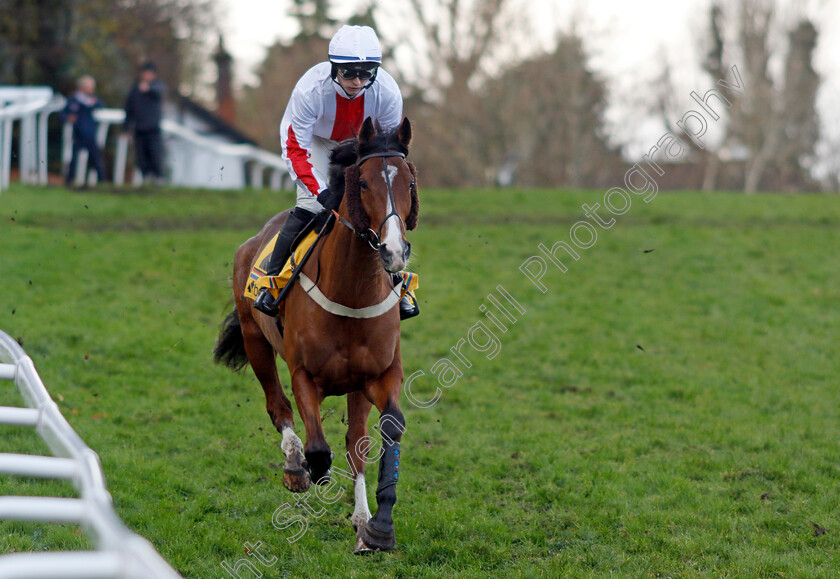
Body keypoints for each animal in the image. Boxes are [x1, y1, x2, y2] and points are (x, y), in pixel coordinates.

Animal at [213, 116, 416, 552]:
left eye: (409, 182)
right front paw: (307, 471)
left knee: (353, 440)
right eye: (362, 183)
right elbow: (318, 447)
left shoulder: (378, 375)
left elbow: (381, 433)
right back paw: (294, 466)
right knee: (278, 407)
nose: (393, 251)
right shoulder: (304, 374)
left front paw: (376, 527)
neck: (351, 292)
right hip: (256, 341)